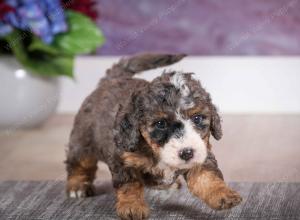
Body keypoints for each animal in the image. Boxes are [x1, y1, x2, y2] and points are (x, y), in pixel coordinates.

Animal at [65, 53, 241, 220]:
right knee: (78, 163)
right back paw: (78, 186)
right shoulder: (122, 157)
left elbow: (207, 177)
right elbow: (129, 184)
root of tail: (111, 79)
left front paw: (223, 194)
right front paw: (132, 206)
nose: (186, 153)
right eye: (160, 124)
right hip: (83, 141)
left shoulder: (201, 153)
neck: (156, 152)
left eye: (197, 118)